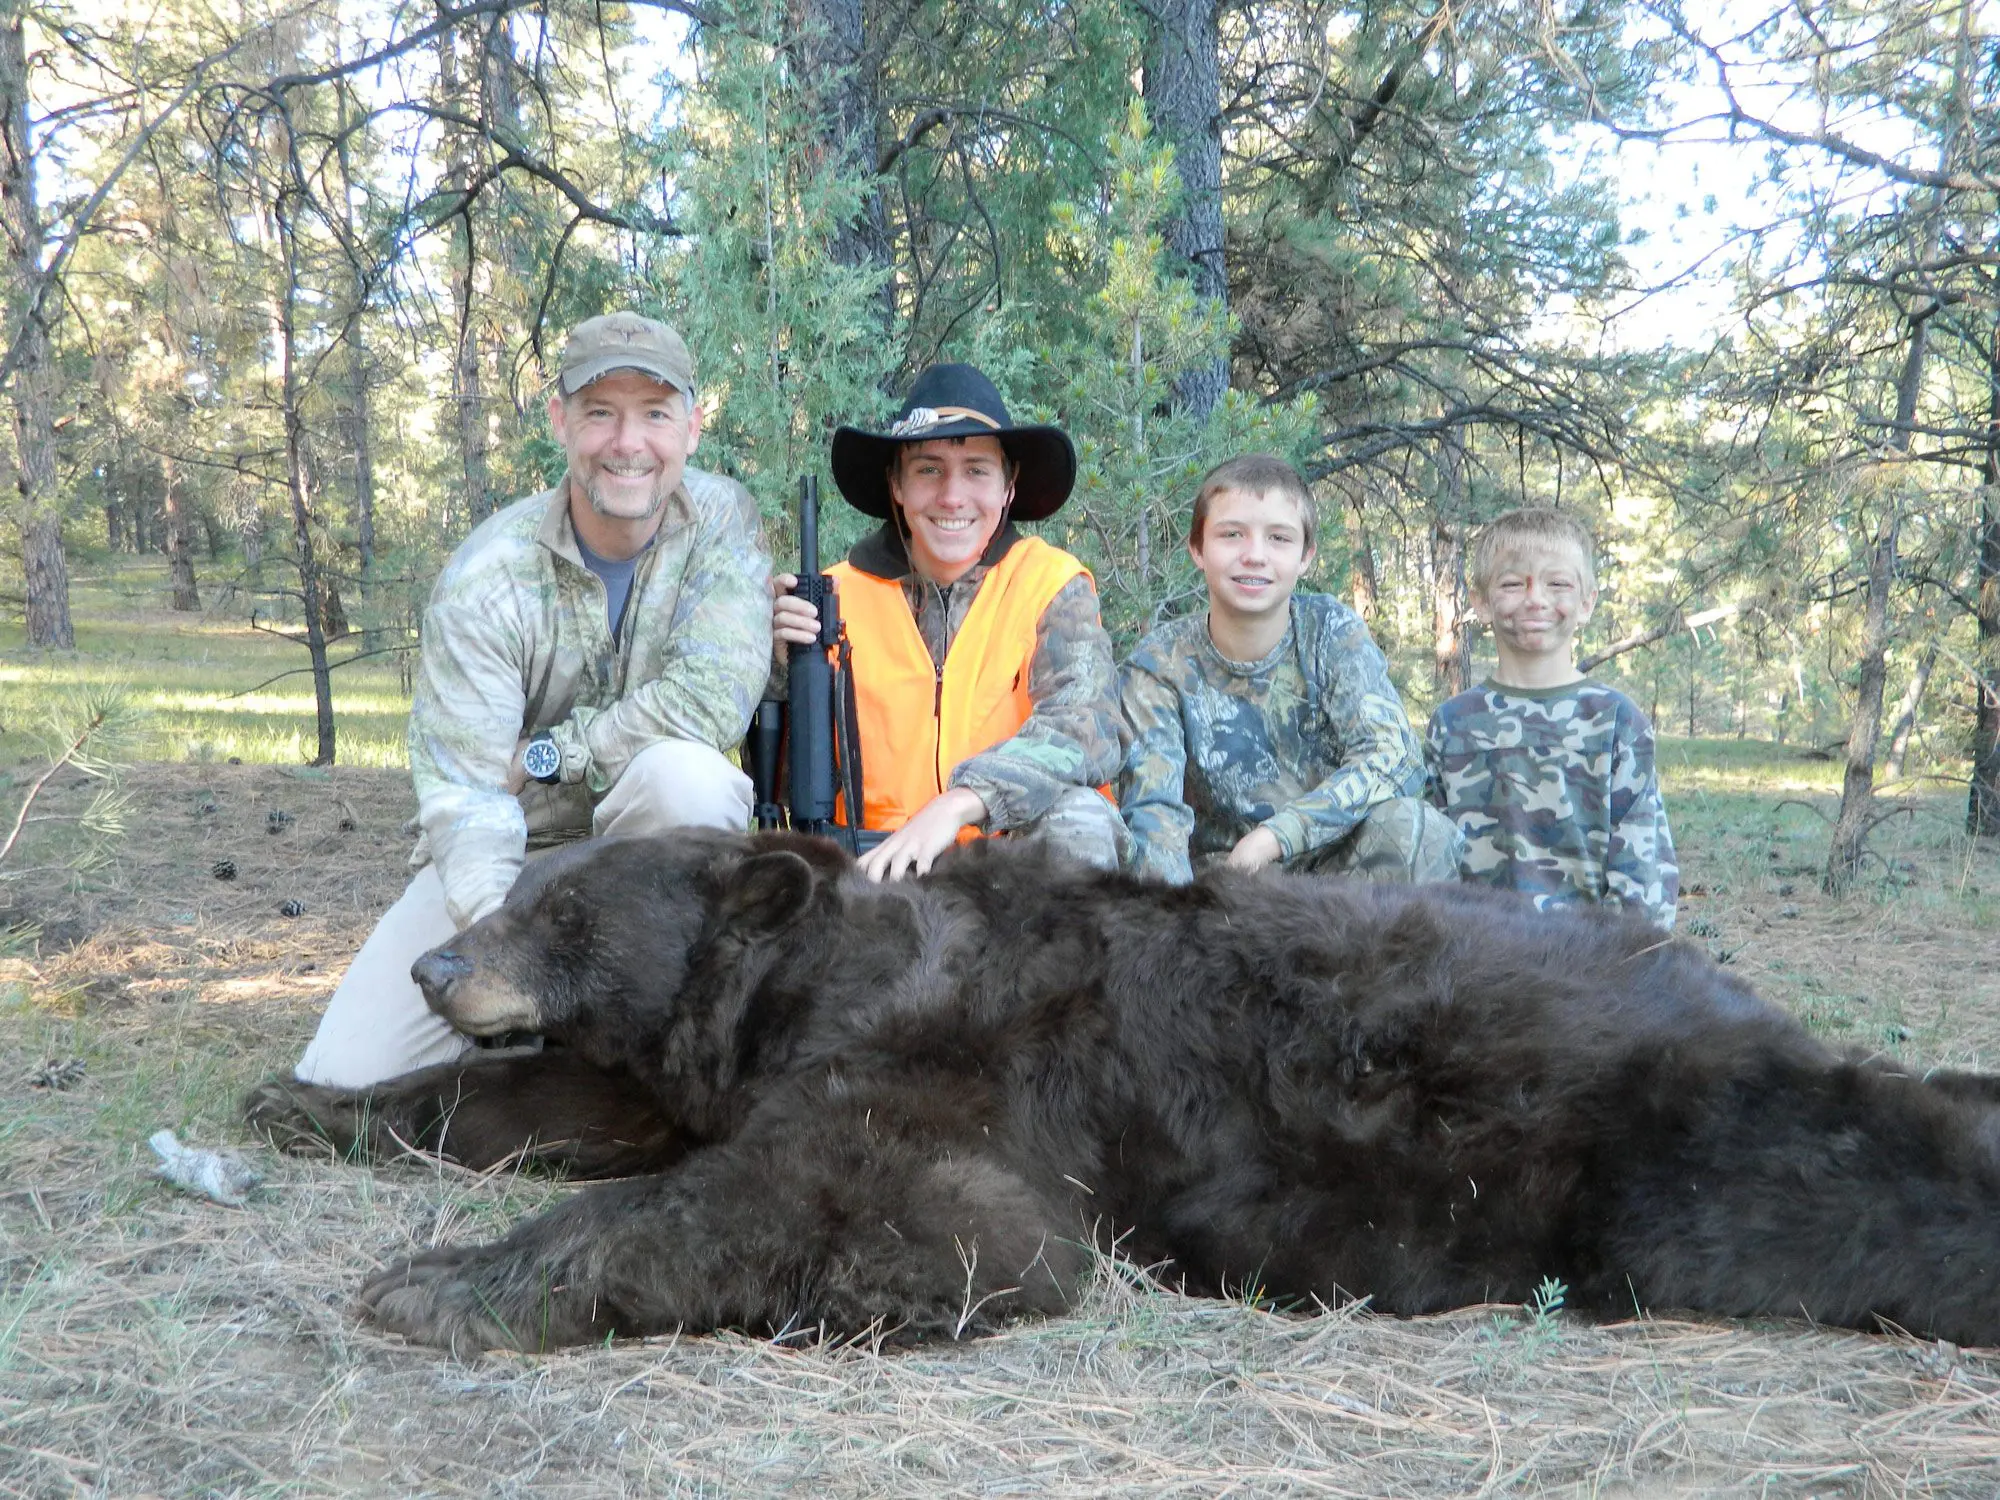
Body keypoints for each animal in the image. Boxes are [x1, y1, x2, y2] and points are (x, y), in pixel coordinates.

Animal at [246, 828, 2000, 1360]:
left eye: (561, 914)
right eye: (516, 894)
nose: (434, 968)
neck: (810, 979)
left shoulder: (961, 1081)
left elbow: (883, 1215)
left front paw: (444, 1279)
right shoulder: (712, 1068)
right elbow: (571, 1105)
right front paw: (315, 1103)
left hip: (1667, 1155)